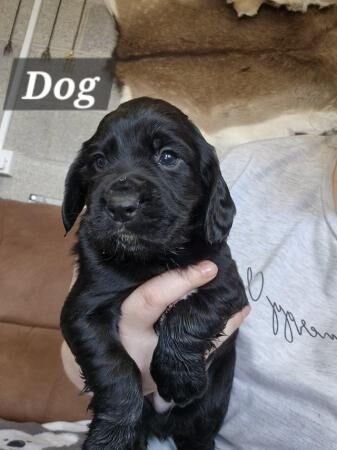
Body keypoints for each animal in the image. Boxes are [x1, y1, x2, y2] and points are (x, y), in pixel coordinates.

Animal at [60, 98, 248, 450]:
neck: (151, 257)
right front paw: (111, 435)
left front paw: (180, 376)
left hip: (208, 411)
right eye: (99, 162)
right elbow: (115, 367)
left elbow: (191, 313)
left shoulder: (225, 283)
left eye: (168, 157)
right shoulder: (83, 309)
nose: (120, 205)